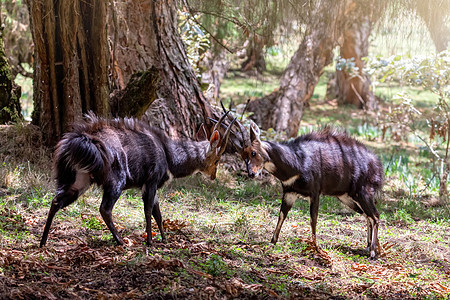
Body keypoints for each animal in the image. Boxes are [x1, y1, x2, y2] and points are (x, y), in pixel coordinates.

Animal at [40, 111, 236, 247]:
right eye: (217, 159)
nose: (213, 176)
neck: (168, 153)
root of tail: (78, 141)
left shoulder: (149, 186)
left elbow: (158, 212)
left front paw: (164, 239)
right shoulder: (151, 182)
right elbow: (149, 210)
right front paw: (150, 241)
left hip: (80, 180)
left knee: (56, 201)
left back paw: (43, 242)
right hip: (116, 182)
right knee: (104, 209)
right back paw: (121, 241)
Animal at [227, 118, 384, 258]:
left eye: (253, 152)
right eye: (243, 156)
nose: (251, 174)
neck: (297, 161)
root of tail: (377, 165)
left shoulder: (315, 193)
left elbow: (313, 219)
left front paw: (315, 247)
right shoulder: (289, 193)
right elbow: (282, 215)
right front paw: (272, 242)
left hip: (362, 193)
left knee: (375, 215)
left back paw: (373, 252)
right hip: (347, 197)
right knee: (367, 215)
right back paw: (371, 247)